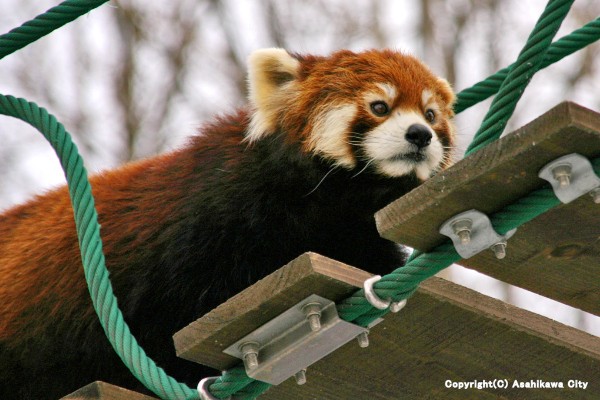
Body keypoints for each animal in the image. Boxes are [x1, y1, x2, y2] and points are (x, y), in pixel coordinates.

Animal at [0, 48, 454, 398]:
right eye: (380, 106)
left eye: (431, 114)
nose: (420, 134)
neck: (330, 202)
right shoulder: (212, 222)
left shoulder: (354, 232)